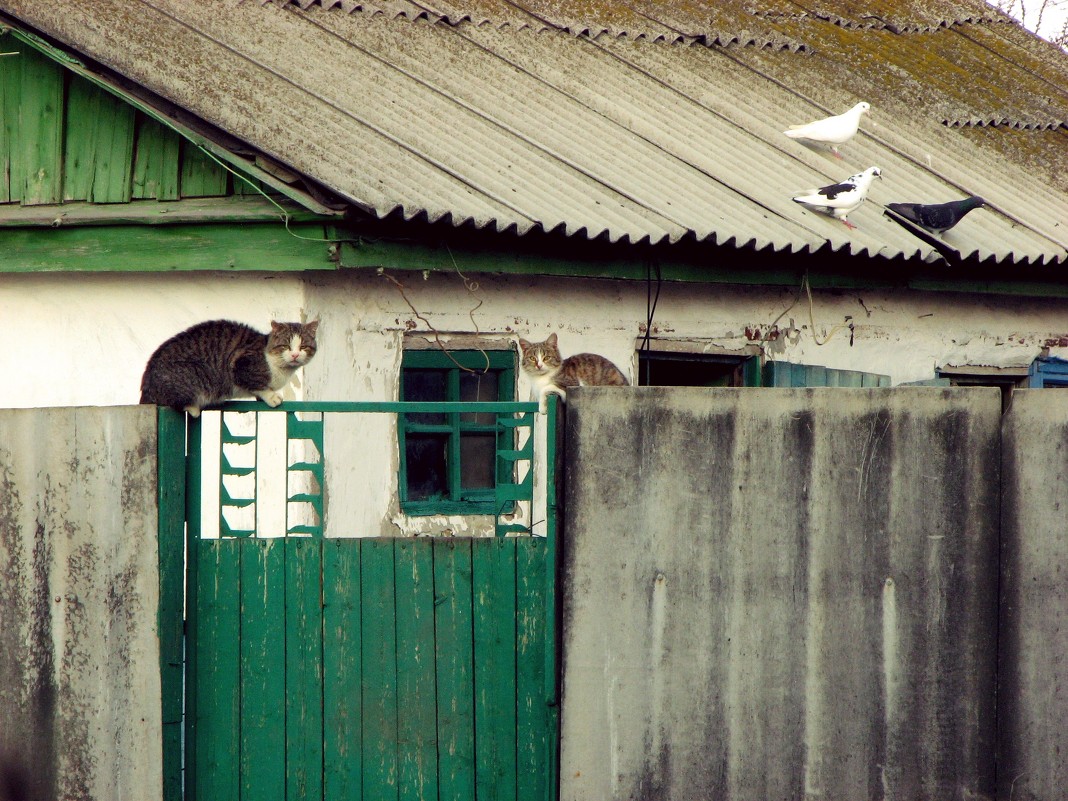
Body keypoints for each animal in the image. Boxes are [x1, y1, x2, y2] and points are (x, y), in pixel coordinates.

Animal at [136, 320, 316, 420]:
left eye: (303, 347)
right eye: (285, 346)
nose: (294, 354)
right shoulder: (239, 365)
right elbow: (258, 385)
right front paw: (271, 396)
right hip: (193, 376)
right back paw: (193, 408)